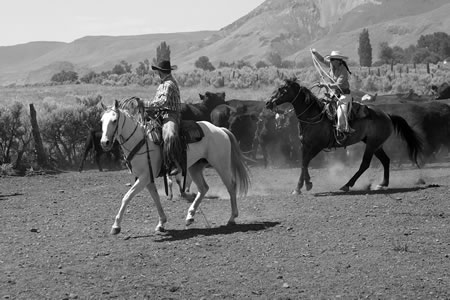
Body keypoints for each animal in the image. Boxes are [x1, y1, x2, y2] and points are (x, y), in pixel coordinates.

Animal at [266, 78, 424, 193]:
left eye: (282, 90)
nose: (268, 103)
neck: (313, 116)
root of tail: (388, 115)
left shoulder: (317, 146)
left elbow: (305, 163)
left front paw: (305, 185)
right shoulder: (304, 145)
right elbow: (303, 163)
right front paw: (301, 186)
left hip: (372, 144)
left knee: (365, 164)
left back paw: (347, 185)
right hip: (375, 144)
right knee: (385, 160)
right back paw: (382, 184)